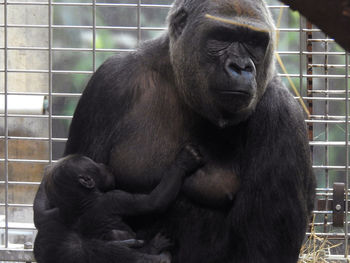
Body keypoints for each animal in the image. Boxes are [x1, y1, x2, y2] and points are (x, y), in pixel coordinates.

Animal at [34, 145, 202, 262]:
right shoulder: (115, 198)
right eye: (94, 164)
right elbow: (154, 202)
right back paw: (153, 247)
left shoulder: (55, 215)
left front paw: (47, 170)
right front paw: (183, 162)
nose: (102, 164)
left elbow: (40, 216)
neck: (81, 201)